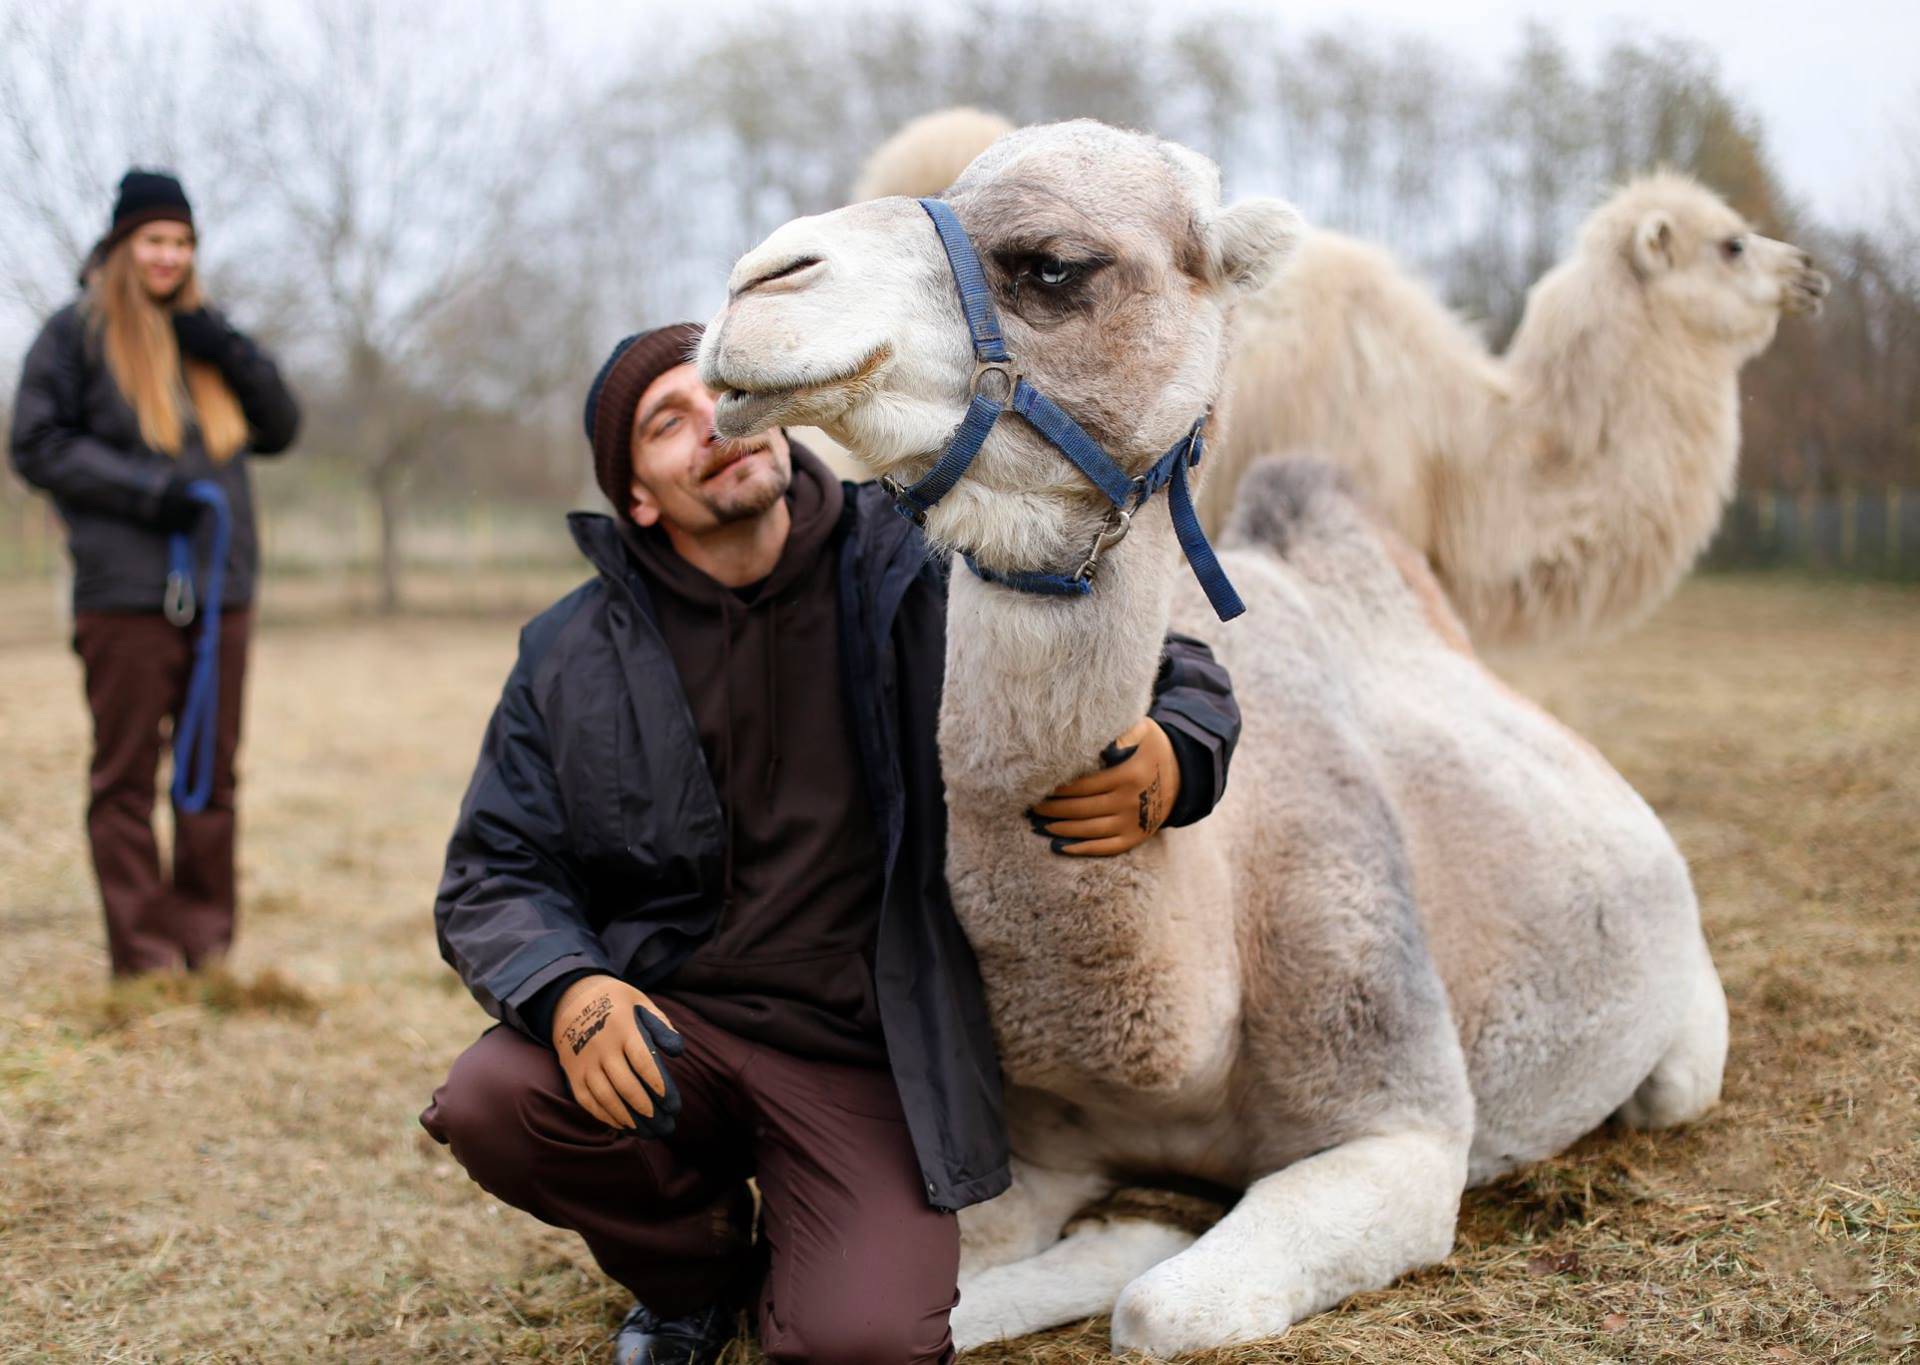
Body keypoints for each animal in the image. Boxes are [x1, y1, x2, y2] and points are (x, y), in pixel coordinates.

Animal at [702, 122, 1728, 1359]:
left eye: (1053, 265)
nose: (755, 289)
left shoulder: (1403, 1127)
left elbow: (1157, 1306)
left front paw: (1146, 1231)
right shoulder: (1030, 1145)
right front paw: (1132, 1219)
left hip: (1683, 1031)